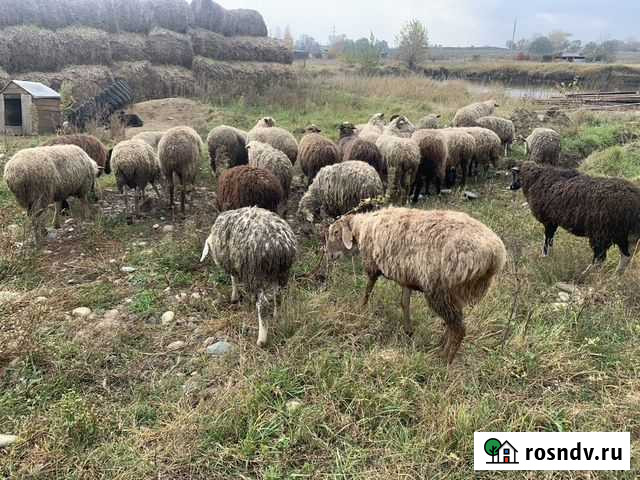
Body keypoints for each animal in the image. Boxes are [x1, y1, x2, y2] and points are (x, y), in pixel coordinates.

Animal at [200, 206, 297, 346]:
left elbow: (233, 278)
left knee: (263, 305)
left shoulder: (234, 261)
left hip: (255, 272)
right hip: (282, 271)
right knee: (280, 296)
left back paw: (261, 340)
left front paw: (234, 297)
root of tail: (278, 244)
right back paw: (279, 316)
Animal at [325, 207, 506, 363]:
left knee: (458, 328)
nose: (329, 255)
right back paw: (440, 346)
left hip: (440, 289)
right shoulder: (406, 277)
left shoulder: (372, 265)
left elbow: (368, 289)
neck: (363, 227)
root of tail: (495, 256)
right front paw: (408, 331)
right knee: (453, 322)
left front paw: (360, 308)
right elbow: (404, 303)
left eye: (336, 232)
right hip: (453, 292)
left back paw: (444, 359)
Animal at [510, 161, 640, 275]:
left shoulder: (549, 221)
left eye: (514, 175)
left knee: (600, 258)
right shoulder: (553, 221)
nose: (511, 187)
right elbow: (550, 240)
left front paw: (545, 256)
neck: (535, 179)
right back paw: (616, 275)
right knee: (626, 255)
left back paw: (587, 273)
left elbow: (547, 239)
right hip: (623, 234)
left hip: (603, 232)